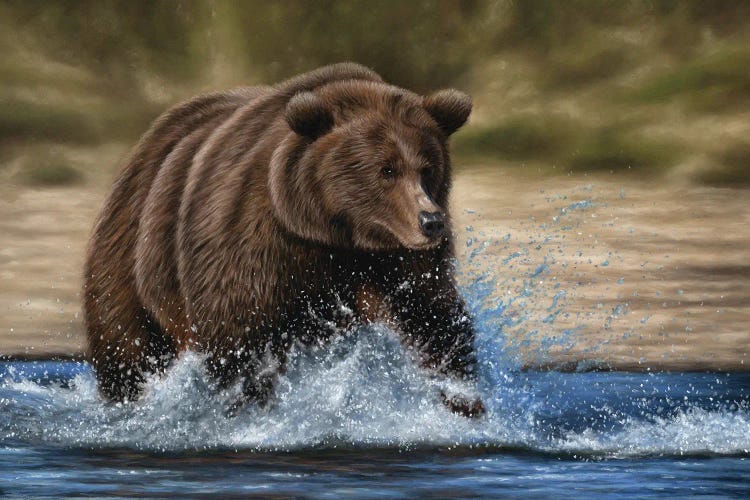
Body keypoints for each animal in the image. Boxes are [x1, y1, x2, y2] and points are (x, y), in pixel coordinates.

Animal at [81, 62, 482, 414]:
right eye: (386, 170)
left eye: (427, 169)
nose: (431, 222)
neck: (335, 233)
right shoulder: (253, 237)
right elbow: (239, 333)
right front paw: (249, 404)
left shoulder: (397, 260)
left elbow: (431, 315)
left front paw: (462, 399)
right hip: (132, 256)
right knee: (127, 346)